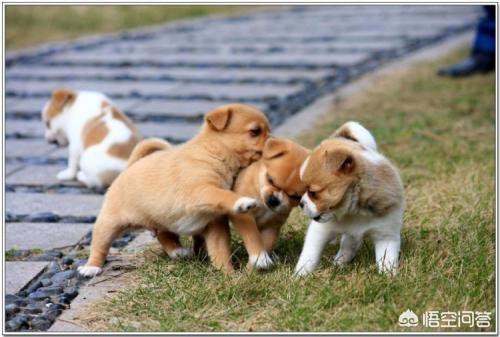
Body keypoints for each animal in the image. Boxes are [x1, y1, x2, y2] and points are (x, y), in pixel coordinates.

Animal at [78, 104, 272, 276]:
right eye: (255, 131)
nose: (273, 142)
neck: (213, 152)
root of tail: (130, 167)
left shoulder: (214, 223)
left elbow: (220, 250)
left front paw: (228, 275)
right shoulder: (200, 191)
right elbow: (222, 194)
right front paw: (242, 202)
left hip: (161, 219)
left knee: (164, 235)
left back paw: (178, 251)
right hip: (109, 222)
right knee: (100, 245)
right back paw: (91, 268)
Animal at [194, 136, 308, 270]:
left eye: (295, 197)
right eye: (270, 180)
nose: (274, 200)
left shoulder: (272, 226)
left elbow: (267, 244)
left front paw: (252, 269)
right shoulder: (244, 216)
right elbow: (252, 236)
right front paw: (259, 259)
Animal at [294, 121, 404, 276]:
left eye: (313, 193)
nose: (301, 203)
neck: (354, 210)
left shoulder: (386, 235)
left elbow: (387, 258)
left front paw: (387, 275)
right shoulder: (321, 231)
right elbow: (310, 255)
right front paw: (300, 274)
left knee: (349, 243)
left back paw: (341, 260)